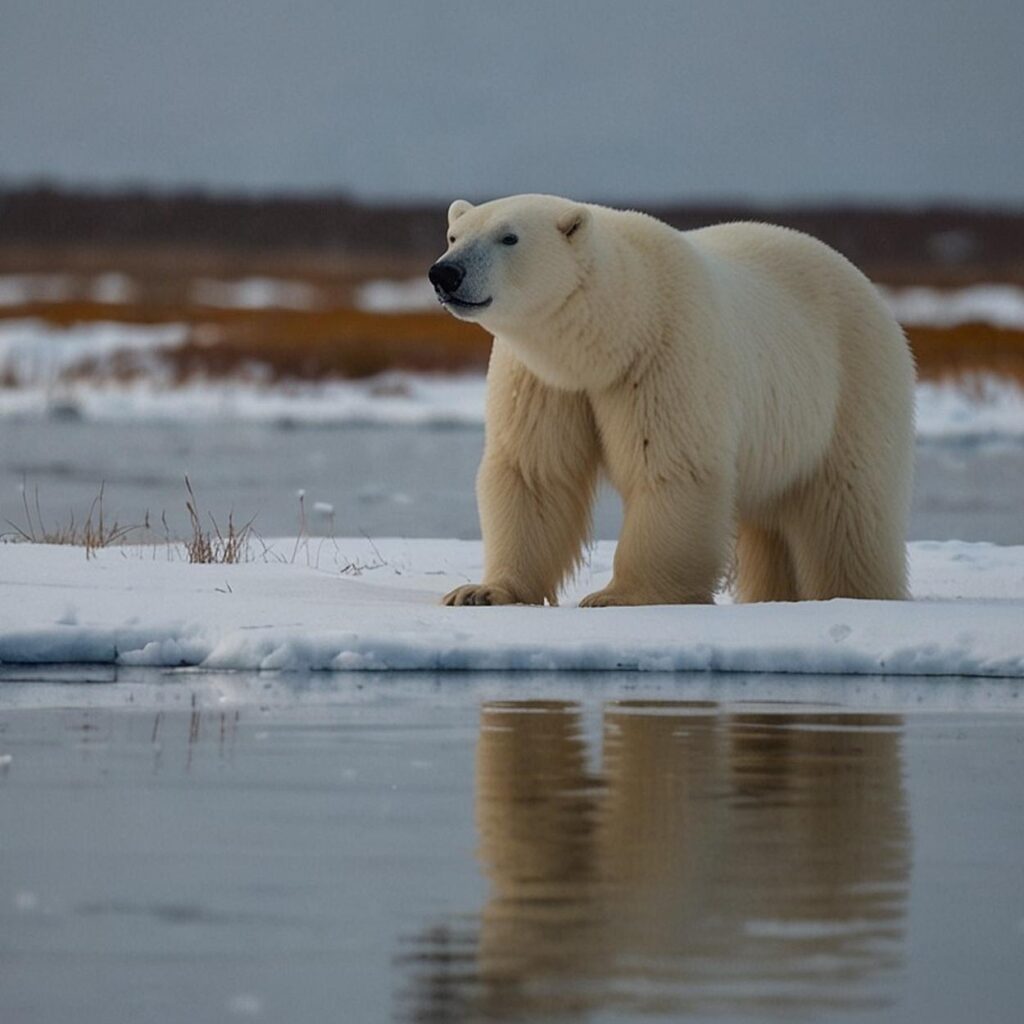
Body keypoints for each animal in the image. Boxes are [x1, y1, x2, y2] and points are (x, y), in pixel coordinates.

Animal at [428, 194, 915, 607]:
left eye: (508, 237)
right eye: (454, 235)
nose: (445, 273)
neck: (619, 327)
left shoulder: (666, 354)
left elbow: (669, 466)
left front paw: (618, 596)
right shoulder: (544, 380)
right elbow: (534, 472)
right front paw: (480, 592)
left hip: (853, 382)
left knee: (848, 504)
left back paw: (855, 593)